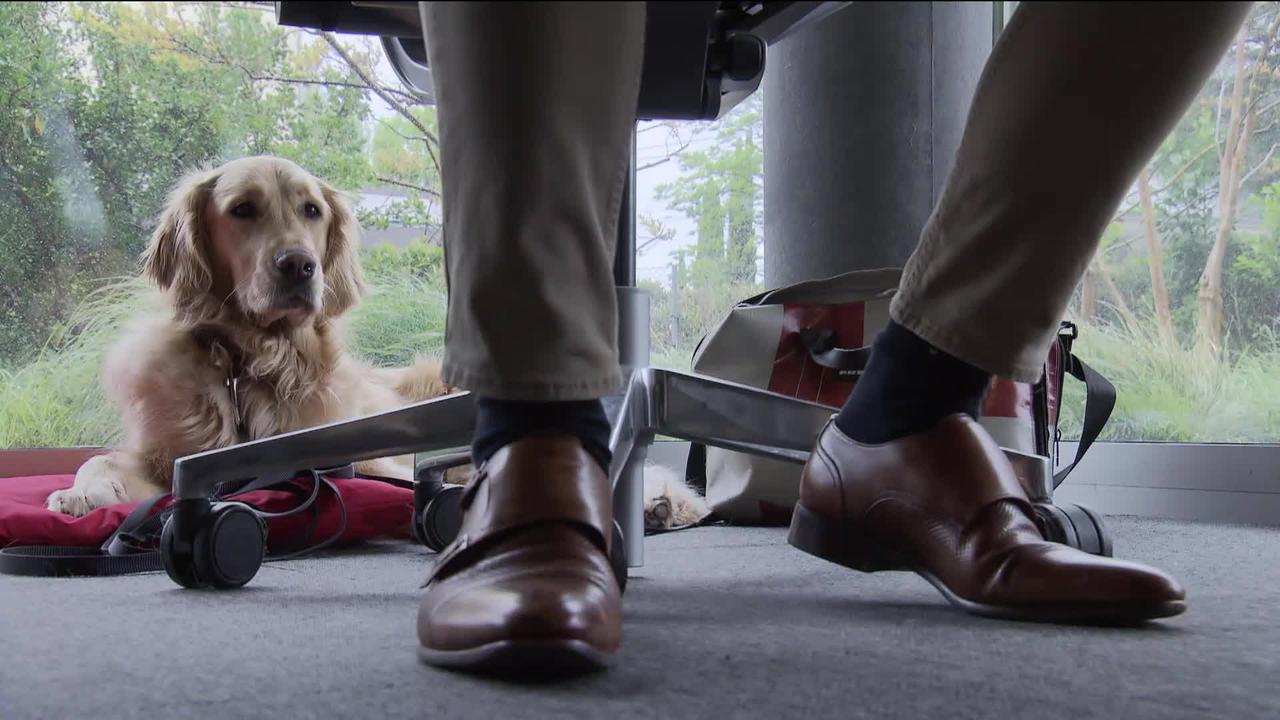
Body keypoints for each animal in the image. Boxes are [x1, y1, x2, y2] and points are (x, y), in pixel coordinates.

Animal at [46, 155, 450, 515]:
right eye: (242, 209)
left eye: (312, 210)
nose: (299, 265)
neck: (255, 361)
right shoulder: (167, 458)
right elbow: (100, 461)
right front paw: (80, 491)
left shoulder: (361, 458)